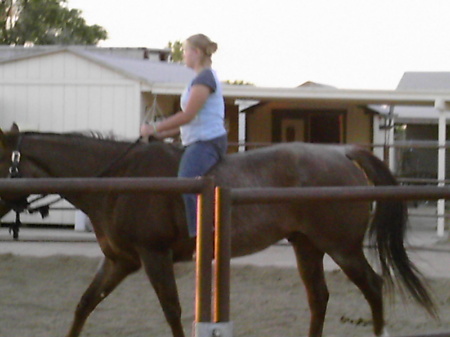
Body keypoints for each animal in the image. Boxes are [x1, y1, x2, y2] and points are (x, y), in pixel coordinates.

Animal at [0, 125, 436, 336]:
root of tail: (342, 154)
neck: (119, 180)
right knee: (319, 299)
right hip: (306, 246)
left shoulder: (153, 256)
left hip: (341, 247)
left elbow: (173, 311)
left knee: (373, 287)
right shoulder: (119, 262)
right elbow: (84, 305)